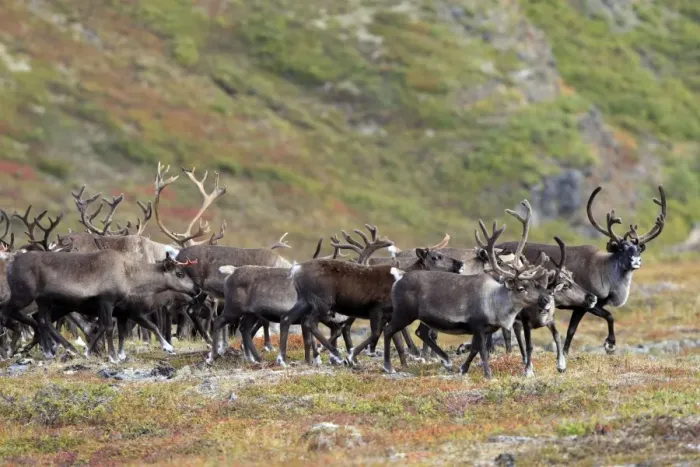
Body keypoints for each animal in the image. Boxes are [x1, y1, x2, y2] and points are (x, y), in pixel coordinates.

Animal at [496, 185, 667, 356]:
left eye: (638, 249)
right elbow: (607, 317)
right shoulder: (585, 304)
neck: (605, 273)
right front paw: (610, 344)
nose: (636, 260)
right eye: (621, 248)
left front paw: (566, 352)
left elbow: (573, 330)